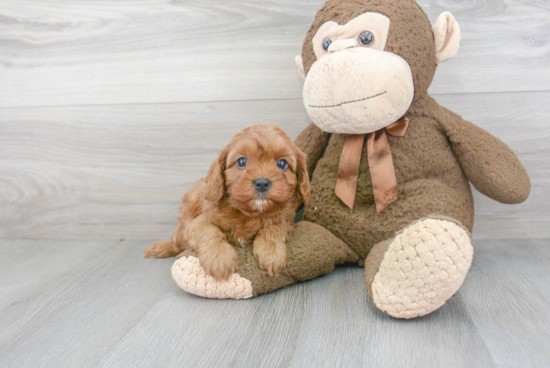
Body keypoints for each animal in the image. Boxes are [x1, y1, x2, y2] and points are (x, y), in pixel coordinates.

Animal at [144, 125, 312, 280]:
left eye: (282, 164)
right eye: (242, 161)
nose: (262, 183)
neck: (250, 213)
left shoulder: (286, 220)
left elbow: (274, 228)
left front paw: (271, 252)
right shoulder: (197, 221)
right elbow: (209, 231)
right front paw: (219, 259)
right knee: (175, 242)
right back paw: (158, 248)